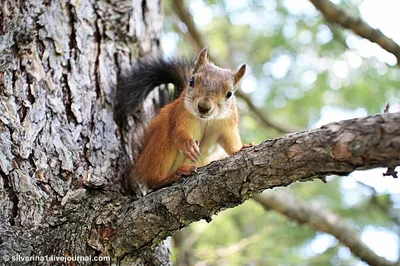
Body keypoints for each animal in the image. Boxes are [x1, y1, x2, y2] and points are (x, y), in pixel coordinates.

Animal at [114, 47, 248, 189]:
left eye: (230, 93)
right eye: (192, 81)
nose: (203, 107)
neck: (206, 120)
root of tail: (139, 162)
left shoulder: (228, 124)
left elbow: (231, 141)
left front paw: (242, 147)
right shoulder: (180, 114)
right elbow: (178, 131)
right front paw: (187, 144)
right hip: (159, 146)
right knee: (152, 180)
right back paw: (170, 176)